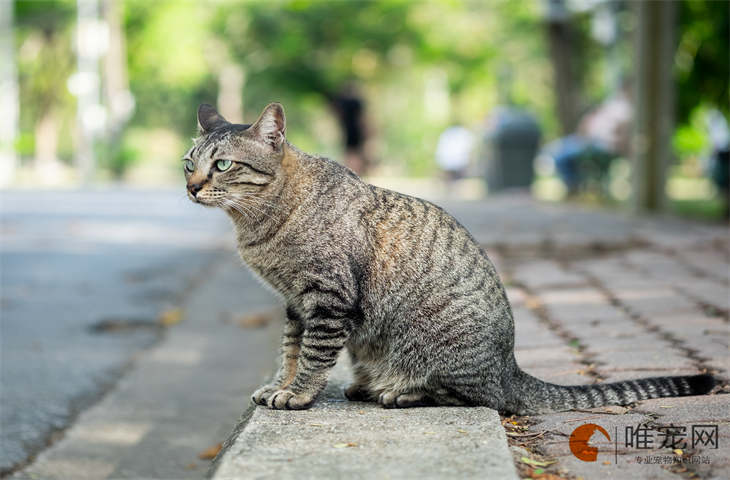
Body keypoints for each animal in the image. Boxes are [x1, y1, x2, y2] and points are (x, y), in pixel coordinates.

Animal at [185, 103, 712, 414]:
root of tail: (510, 368)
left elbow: (314, 356)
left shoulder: (326, 299)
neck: (259, 223)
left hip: (440, 349)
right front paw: (282, 382)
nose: (190, 187)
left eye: (223, 165)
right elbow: (290, 350)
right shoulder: (295, 303)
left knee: (477, 398)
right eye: (190, 163)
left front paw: (298, 394)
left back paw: (397, 390)